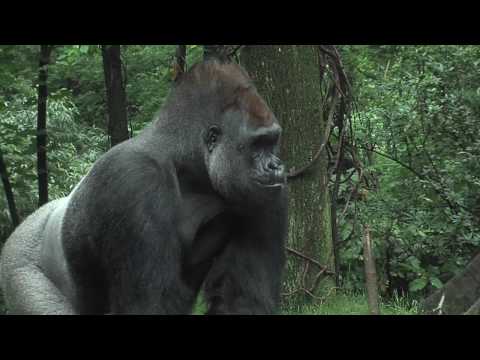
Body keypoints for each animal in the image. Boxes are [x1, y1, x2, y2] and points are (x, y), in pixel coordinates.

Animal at [0, 59, 288, 316]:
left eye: (272, 141)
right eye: (258, 144)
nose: (276, 165)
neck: (189, 170)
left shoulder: (266, 194)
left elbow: (243, 299)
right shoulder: (134, 179)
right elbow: (150, 304)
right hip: (18, 263)